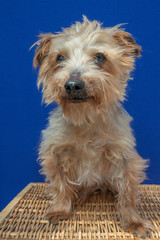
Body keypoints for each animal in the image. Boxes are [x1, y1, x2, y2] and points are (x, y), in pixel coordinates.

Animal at [32, 15, 151, 233]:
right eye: (59, 58)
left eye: (100, 57)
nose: (72, 85)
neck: (86, 118)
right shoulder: (55, 153)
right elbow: (60, 185)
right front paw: (61, 208)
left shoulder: (124, 157)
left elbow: (127, 193)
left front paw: (133, 221)